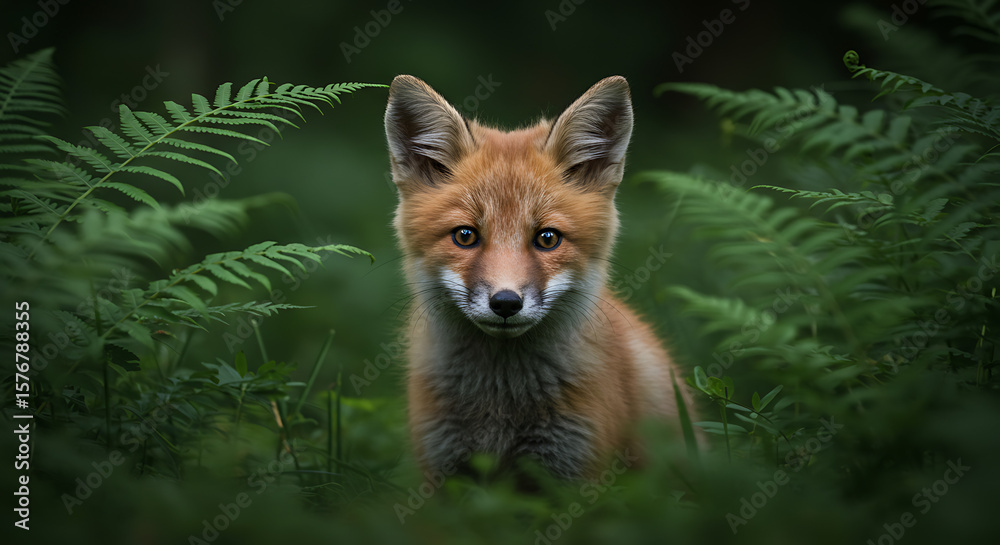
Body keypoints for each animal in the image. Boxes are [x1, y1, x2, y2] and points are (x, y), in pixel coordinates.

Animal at [383, 75, 695, 481]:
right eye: (465, 236)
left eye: (547, 238)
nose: (505, 303)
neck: (500, 405)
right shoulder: (442, 466)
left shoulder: (574, 467)